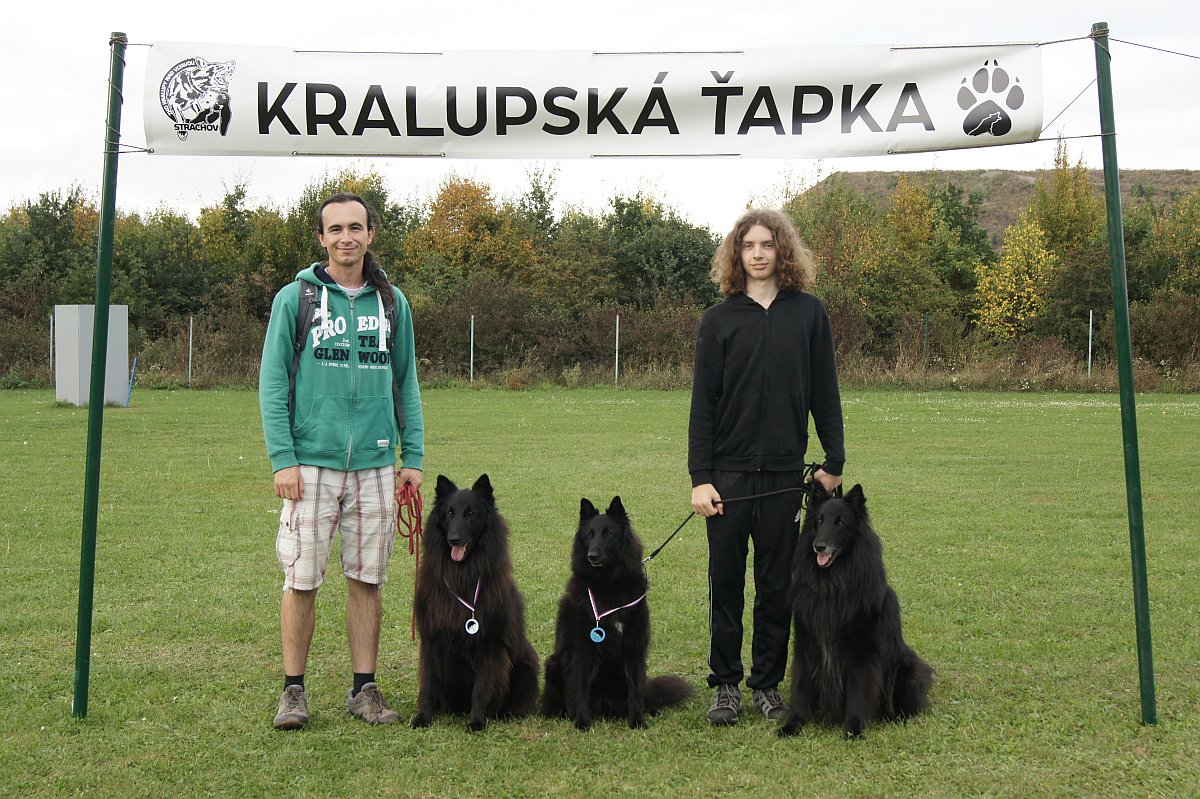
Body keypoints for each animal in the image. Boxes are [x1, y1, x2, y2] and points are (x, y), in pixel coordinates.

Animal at [415, 472, 542, 729]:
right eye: (449, 513)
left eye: (471, 513)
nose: (453, 540)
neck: (462, 576)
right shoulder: (431, 638)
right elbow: (427, 685)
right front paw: (422, 717)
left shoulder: (489, 644)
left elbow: (481, 688)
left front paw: (476, 722)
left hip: (525, 664)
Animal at [537, 499, 696, 729]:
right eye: (589, 534)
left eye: (609, 533)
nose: (592, 556)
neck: (609, 585)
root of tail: (604, 706)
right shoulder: (581, 649)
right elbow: (580, 689)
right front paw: (582, 722)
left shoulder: (634, 646)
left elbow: (635, 691)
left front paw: (637, 721)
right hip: (553, 665)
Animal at [777, 482, 936, 739]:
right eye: (819, 520)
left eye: (840, 522)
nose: (818, 546)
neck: (833, 583)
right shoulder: (806, 643)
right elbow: (801, 686)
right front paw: (794, 723)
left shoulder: (862, 651)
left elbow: (858, 691)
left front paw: (853, 729)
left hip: (906, 664)